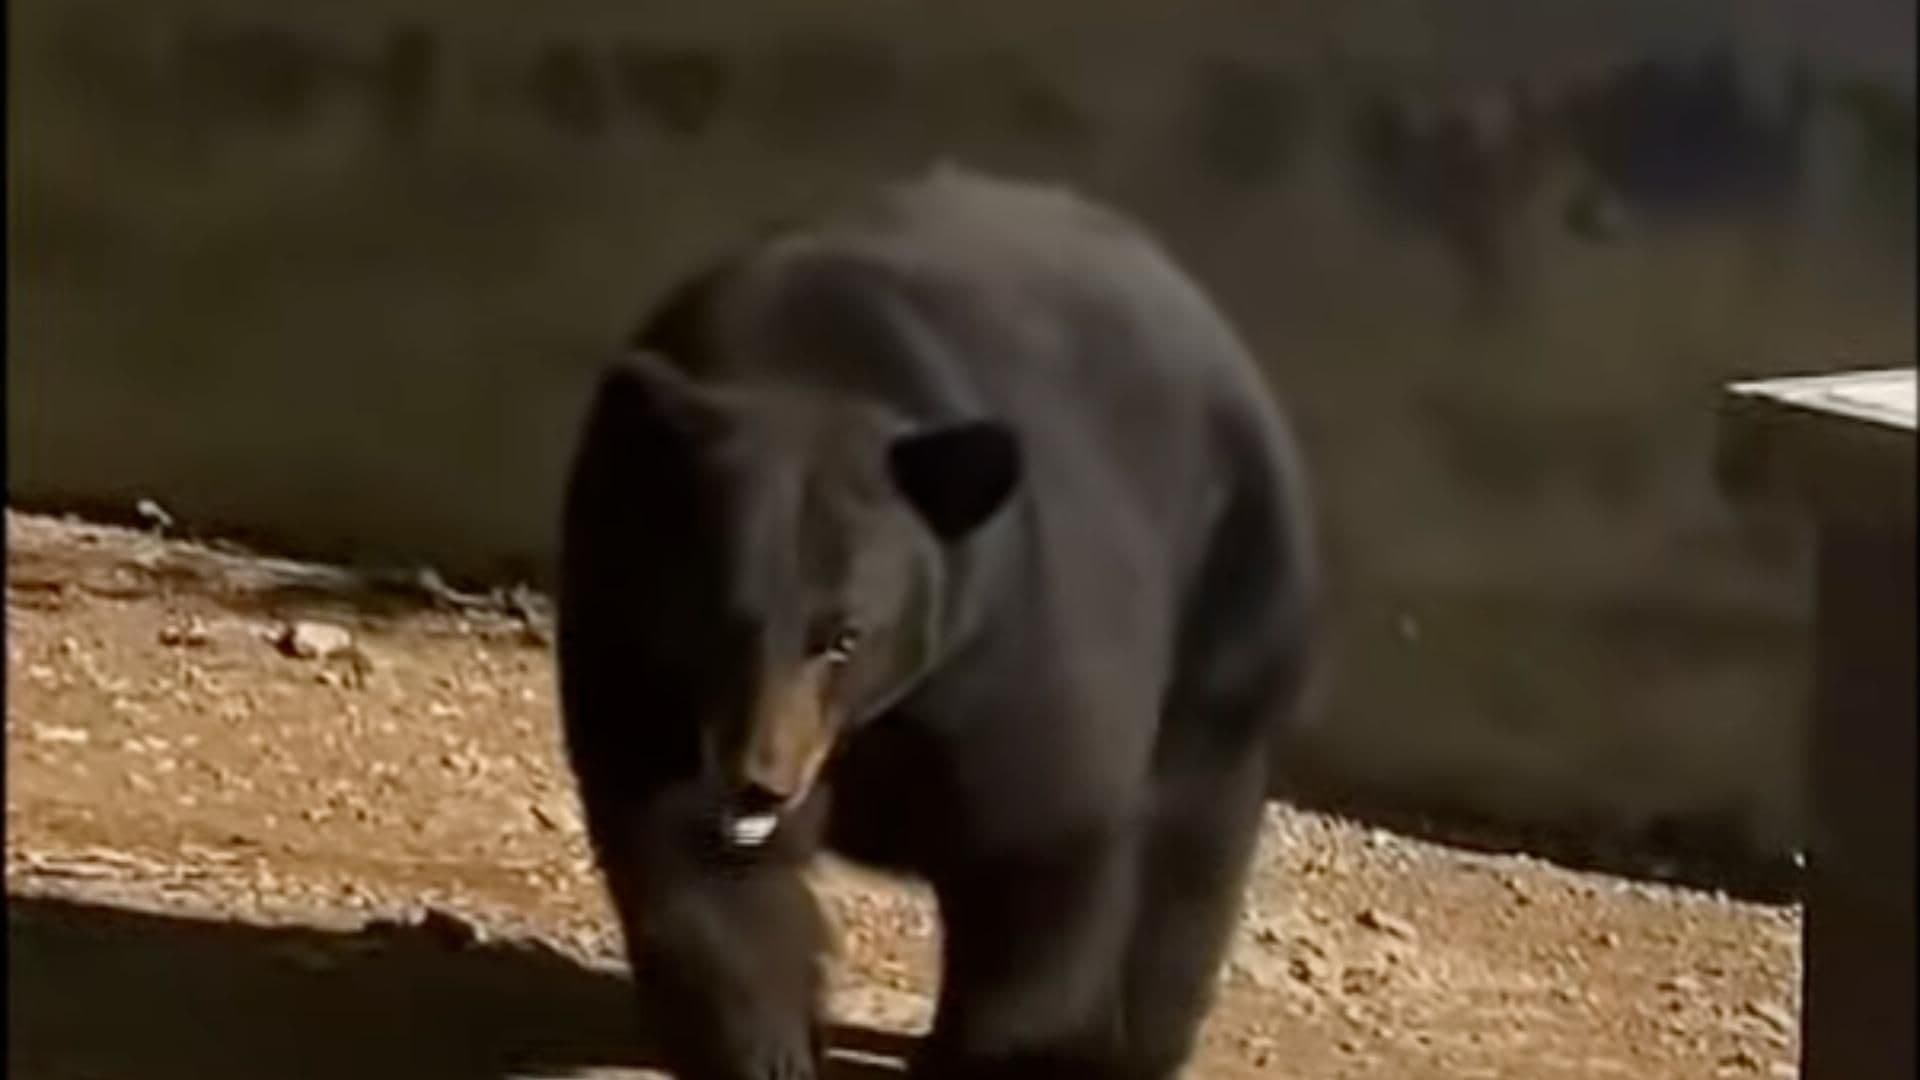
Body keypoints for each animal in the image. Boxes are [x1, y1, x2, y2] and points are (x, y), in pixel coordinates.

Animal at [556, 167, 1317, 1080]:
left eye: (844, 635)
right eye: (714, 618)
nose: (759, 782)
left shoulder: (1013, 650)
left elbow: (1039, 858)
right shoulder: (626, 620)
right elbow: (696, 870)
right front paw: (764, 1047)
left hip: (1233, 595)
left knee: (1190, 840)